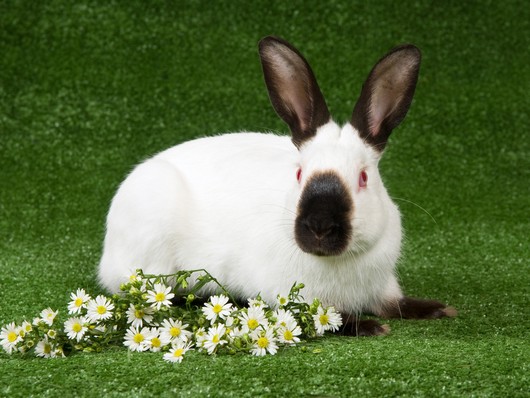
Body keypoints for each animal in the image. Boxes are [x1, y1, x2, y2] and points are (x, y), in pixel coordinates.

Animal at [98, 36, 454, 336]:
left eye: (363, 178)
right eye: (299, 174)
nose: (319, 227)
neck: (338, 260)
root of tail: (107, 255)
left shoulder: (383, 286)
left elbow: (396, 304)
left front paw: (439, 309)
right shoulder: (293, 297)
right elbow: (330, 319)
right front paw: (369, 327)